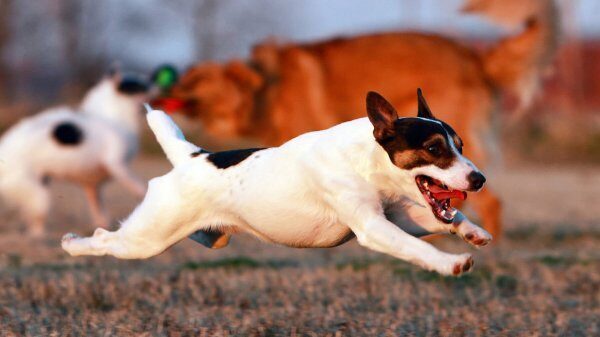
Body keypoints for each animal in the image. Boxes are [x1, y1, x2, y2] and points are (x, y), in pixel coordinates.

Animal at [0, 70, 152, 236]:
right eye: (139, 86)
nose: (153, 82)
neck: (111, 117)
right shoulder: (116, 164)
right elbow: (136, 184)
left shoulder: (91, 187)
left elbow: (99, 210)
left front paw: (103, 225)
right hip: (38, 194)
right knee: (36, 220)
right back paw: (39, 235)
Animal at [61, 90, 492, 276]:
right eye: (434, 148)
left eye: (461, 145)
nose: (479, 179)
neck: (366, 161)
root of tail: (191, 157)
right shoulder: (373, 228)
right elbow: (416, 248)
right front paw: (451, 262)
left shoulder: (396, 216)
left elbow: (440, 221)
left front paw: (472, 232)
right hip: (146, 240)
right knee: (105, 239)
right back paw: (71, 243)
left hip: (210, 237)